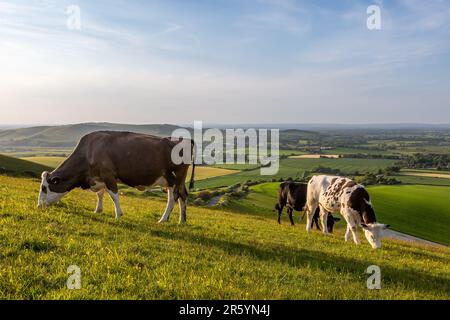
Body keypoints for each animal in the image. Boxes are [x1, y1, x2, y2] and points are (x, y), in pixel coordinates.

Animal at [37, 131, 195, 224]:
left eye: (44, 188)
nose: (38, 206)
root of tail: (187, 139)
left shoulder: (109, 176)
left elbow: (114, 196)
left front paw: (118, 214)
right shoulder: (98, 178)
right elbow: (100, 194)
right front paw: (98, 210)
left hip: (176, 177)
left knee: (174, 197)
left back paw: (163, 219)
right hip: (174, 180)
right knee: (182, 195)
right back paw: (182, 220)